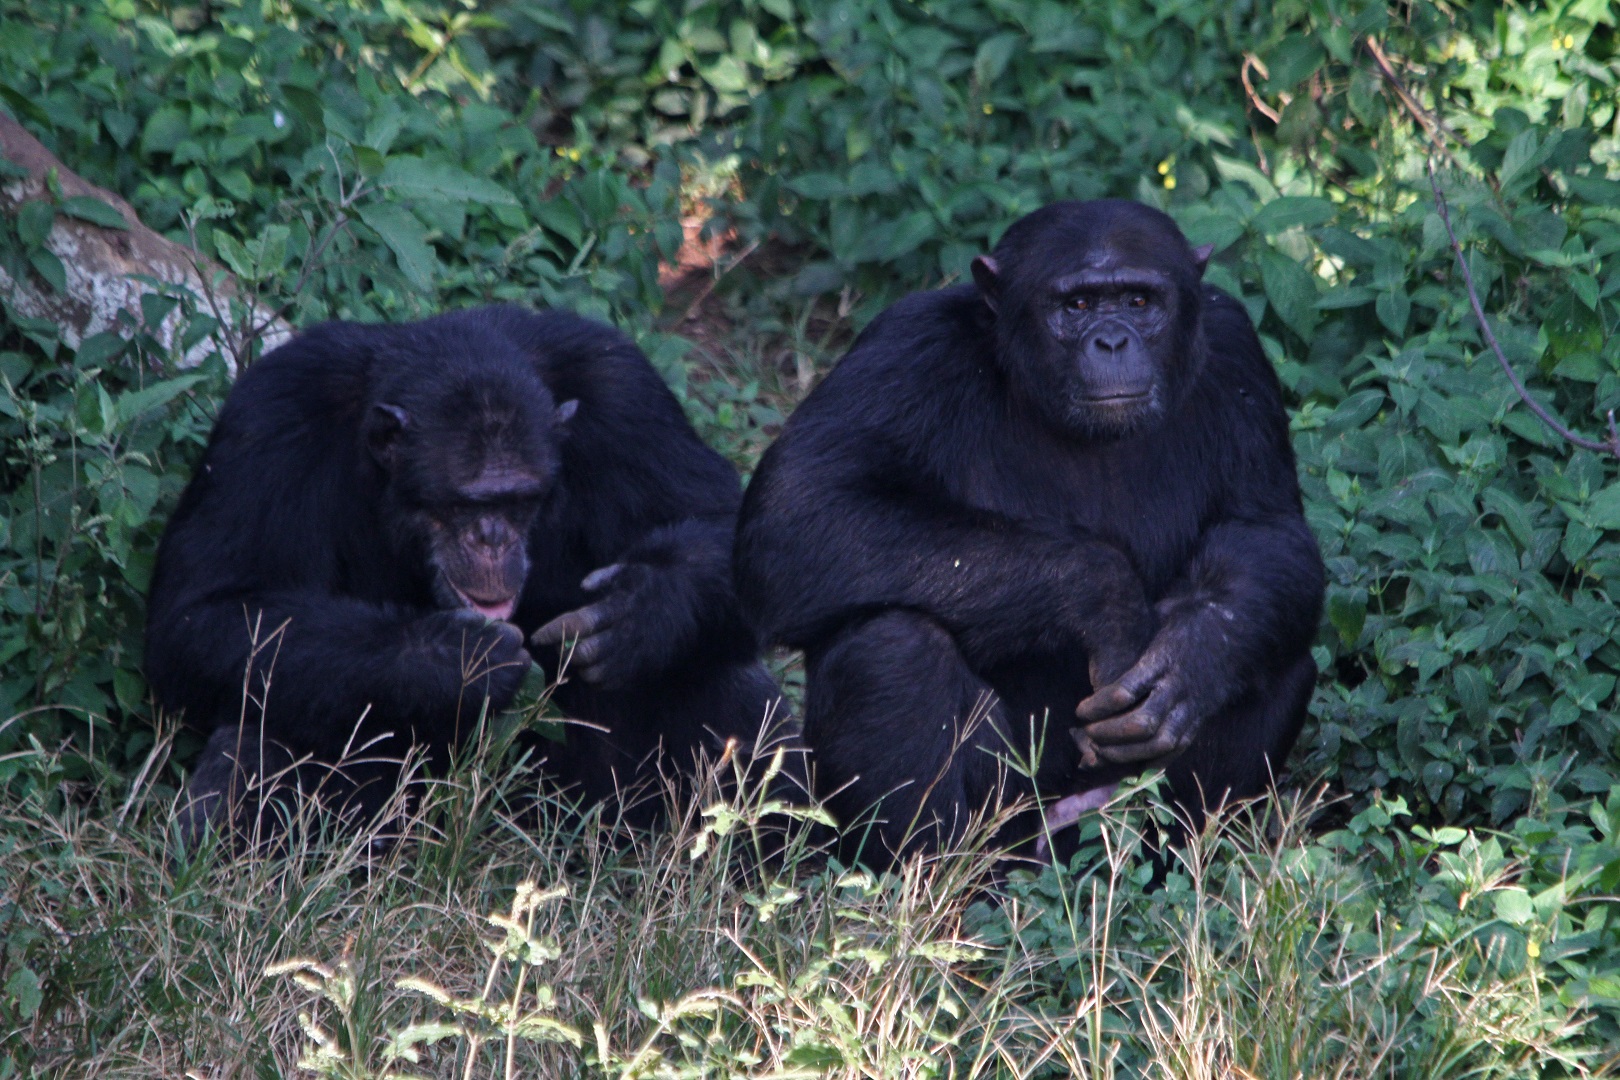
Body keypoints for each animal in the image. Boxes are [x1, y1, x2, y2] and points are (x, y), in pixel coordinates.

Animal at [147, 304, 784, 841]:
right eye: (462, 506)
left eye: (521, 502)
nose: (492, 538)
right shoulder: (273, 415)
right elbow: (207, 613)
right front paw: (454, 659)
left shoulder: (623, 389)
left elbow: (732, 529)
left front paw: (643, 608)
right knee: (266, 708)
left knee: (713, 671)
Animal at [741, 198, 1321, 867]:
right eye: (1076, 306)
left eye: (1140, 301)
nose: (1112, 339)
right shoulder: (907, 347)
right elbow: (803, 507)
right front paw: (1104, 598)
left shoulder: (1235, 350)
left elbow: (1269, 530)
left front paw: (1193, 657)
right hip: (1012, 818)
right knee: (888, 648)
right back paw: (939, 879)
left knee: (1275, 647)